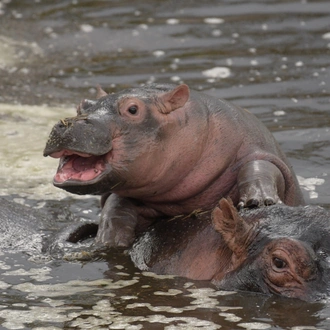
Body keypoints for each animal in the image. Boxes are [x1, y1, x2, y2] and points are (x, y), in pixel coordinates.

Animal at [43, 84, 304, 246]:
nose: (67, 124)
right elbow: (116, 203)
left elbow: (259, 167)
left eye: (133, 109)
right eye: (82, 105)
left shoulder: (255, 147)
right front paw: (109, 238)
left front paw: (257, 201)